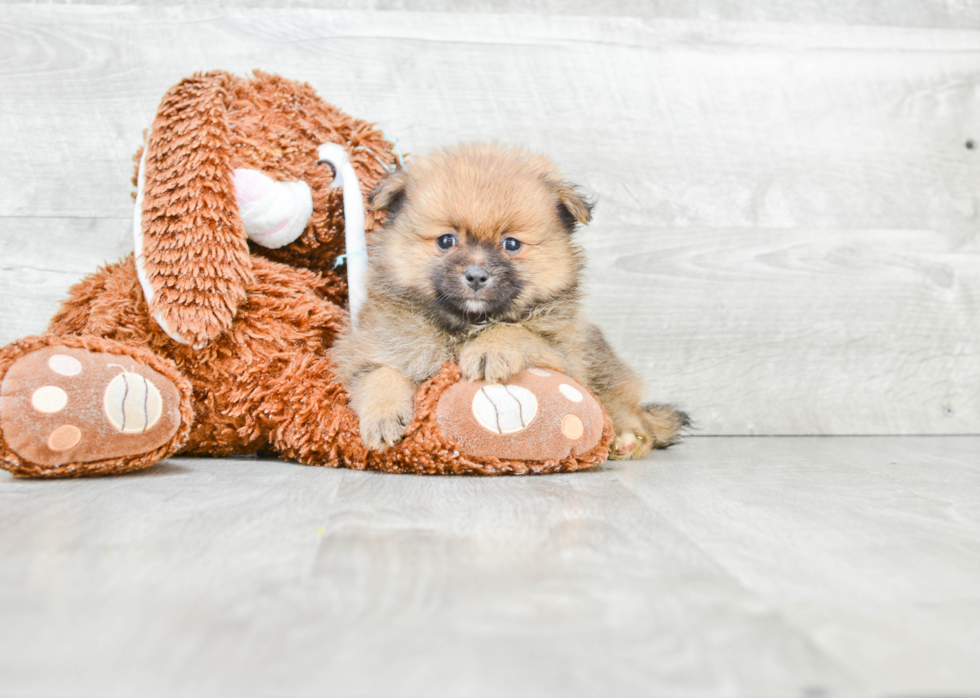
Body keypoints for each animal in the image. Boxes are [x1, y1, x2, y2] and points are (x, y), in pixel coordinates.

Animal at [334, 143, 684, 456]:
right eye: (446, 241)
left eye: (511, 244)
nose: (476, 276)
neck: (466, 325)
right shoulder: (369, 352)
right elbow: (380, 376)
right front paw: (383, 417)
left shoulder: (565, 359)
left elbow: (517, 331)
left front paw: (490, 349)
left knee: (629, 413)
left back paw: (625, 440)